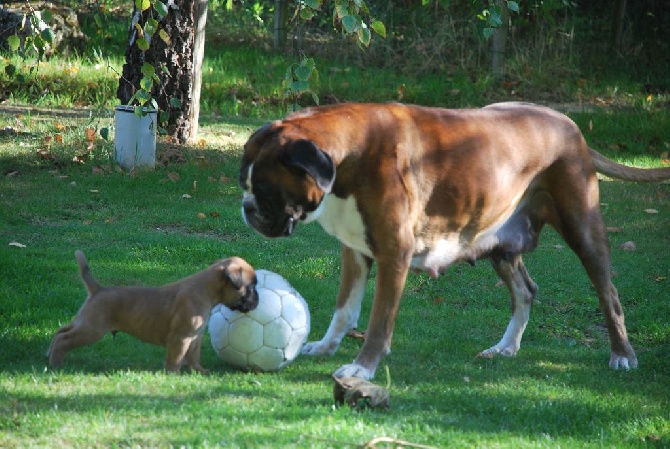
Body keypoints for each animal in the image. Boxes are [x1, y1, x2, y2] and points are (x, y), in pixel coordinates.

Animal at [48, 248, 258, 372]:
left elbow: (193, 357)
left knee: (61, 330)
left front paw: (199, 371)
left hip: (84, 323)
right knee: (64, 338)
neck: (205, 289)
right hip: (92, 330)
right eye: (250, 287)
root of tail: (98, 290)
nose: (257, 301)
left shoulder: (195, 337)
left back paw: (49, 354)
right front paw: (172, 376)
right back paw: (55, 363)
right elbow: (175, 359)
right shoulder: (180, 338)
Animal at [240, 101, 670, 378]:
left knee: (608, 294)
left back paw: (622, 355)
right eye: (245, 182)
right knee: (525, 291)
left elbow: (379, 321)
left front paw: (362, 368)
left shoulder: (393, 255)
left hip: (584, 231)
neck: (352, 153)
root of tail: (572, 128)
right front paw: (326, 346)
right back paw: (506, 347)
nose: (246, 207)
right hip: (500, 245)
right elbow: (345, 309)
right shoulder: (355, 253)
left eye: (262, 187)